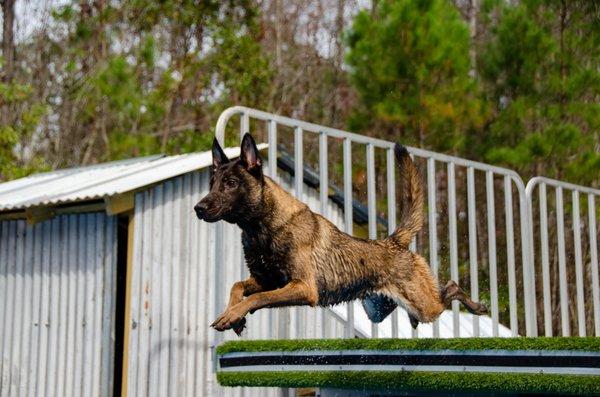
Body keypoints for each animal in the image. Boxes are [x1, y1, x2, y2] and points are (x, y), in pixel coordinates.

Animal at [195, 134, 486, 334]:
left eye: (231, 183)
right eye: (212, 184)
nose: (198, 208)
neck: (262, 227)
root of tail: (394, 241)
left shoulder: (302, 287)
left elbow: (257, 297)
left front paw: (233, 315)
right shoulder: (267, 280)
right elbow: (237, 286)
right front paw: (233, 315)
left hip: (425, 306)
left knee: (450, 289)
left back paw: (477, 306)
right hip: (382, 309)